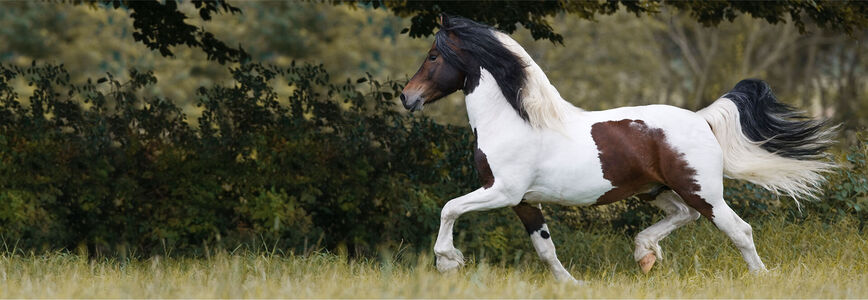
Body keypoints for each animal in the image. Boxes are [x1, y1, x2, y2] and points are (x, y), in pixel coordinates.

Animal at [398, 14, 836, 284]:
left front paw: (447, 262)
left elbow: (449, 208)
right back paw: (644, 254)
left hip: (703, 191)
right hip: (656, 191)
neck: (514, 122)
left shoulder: (501, 192)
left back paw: (762, 277)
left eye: (433, 55)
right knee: (683, 216)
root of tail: (701, 120)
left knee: (738, 229)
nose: (407, 97)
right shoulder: (523, 200)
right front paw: (570, 283)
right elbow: (545, 247)